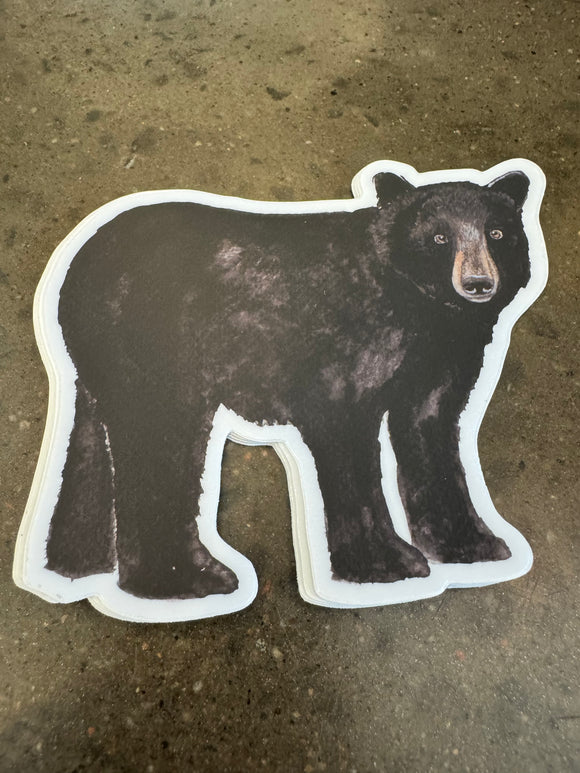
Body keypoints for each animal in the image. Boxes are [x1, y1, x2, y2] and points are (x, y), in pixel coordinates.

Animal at [15, 160, 546, 619]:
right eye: (437, 237)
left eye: (498, 234)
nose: (477, 283)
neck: (422, 311)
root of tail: (78, 258)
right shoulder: (345, 353)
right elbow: (349, 445)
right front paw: (387, 562)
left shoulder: (437, 365)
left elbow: (432, 433)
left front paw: (475, 545)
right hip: (153, 347)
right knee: (159, 442)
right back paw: (189, 578)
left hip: (101, 363)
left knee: (91, 440)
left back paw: (74, 566)